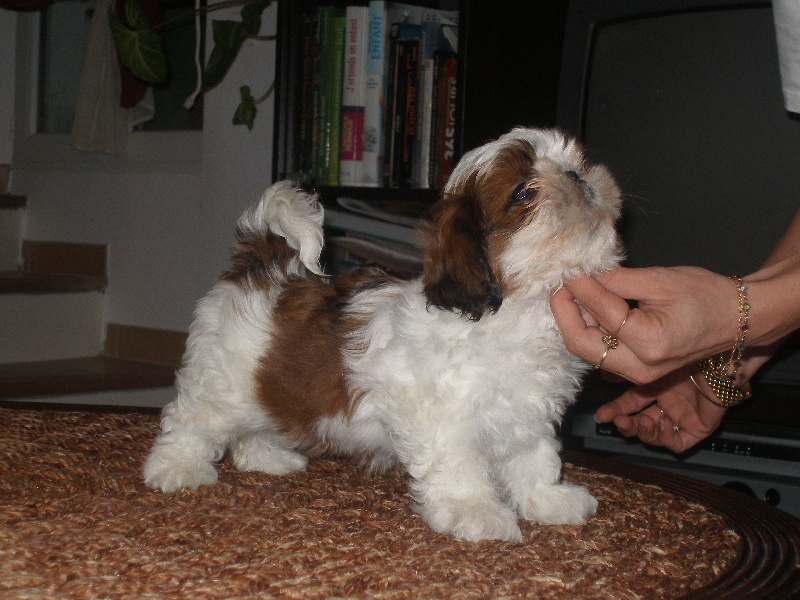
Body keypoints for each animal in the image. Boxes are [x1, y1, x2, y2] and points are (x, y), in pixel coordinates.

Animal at [141, 127, 620, 544]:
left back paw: (265, 457)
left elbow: (534, 459)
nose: (577, 176)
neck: (513, 312)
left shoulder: (525, 414)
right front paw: (476, 512)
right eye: (523, 192)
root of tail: (262, 266)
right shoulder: (442, 418)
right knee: (193, 420)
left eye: (575, 161)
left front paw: (548, 500)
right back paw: (176, 468)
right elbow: (461, 467)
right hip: (221, 378)